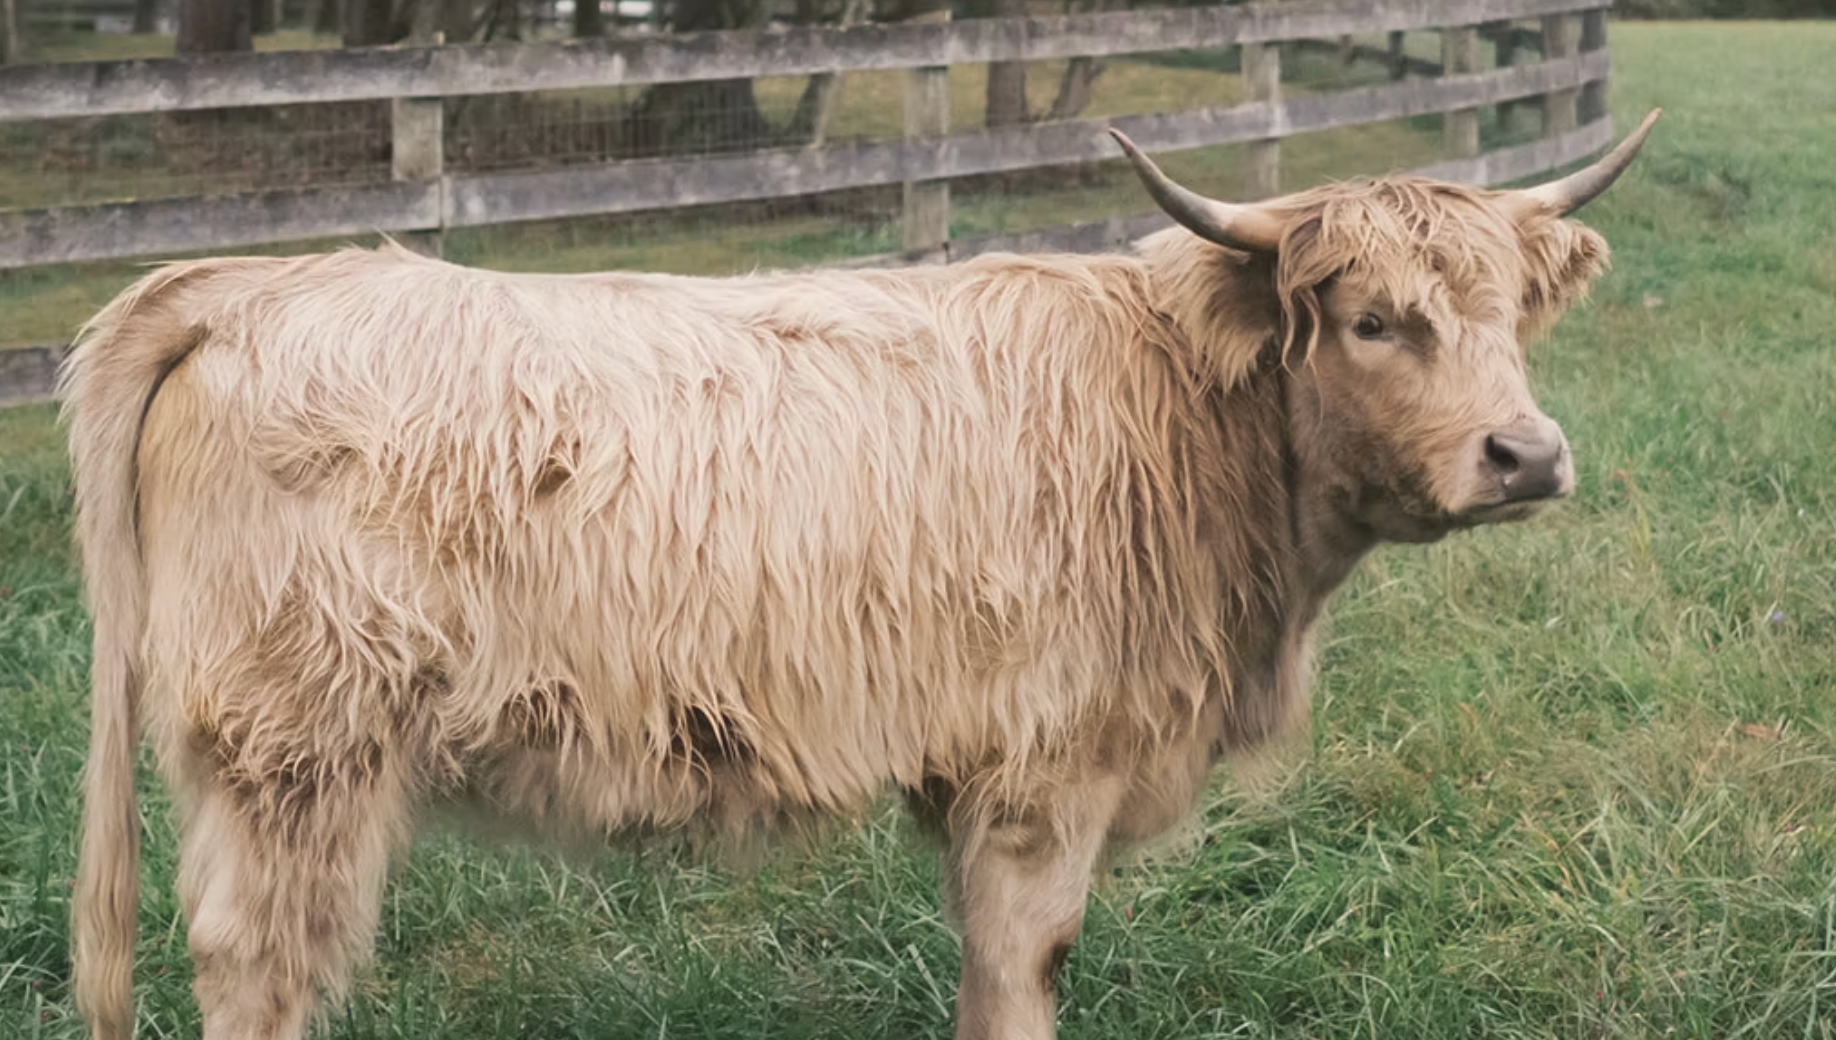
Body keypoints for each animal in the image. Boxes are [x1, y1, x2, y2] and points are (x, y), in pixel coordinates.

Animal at [62, 109, 1658, 1040]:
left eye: (1512, 313)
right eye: (1374, 321)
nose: (1526, 454)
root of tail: (248, 284)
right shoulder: (1043, 772)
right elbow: (1027, 968)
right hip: (295, 747)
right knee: (256, 964)